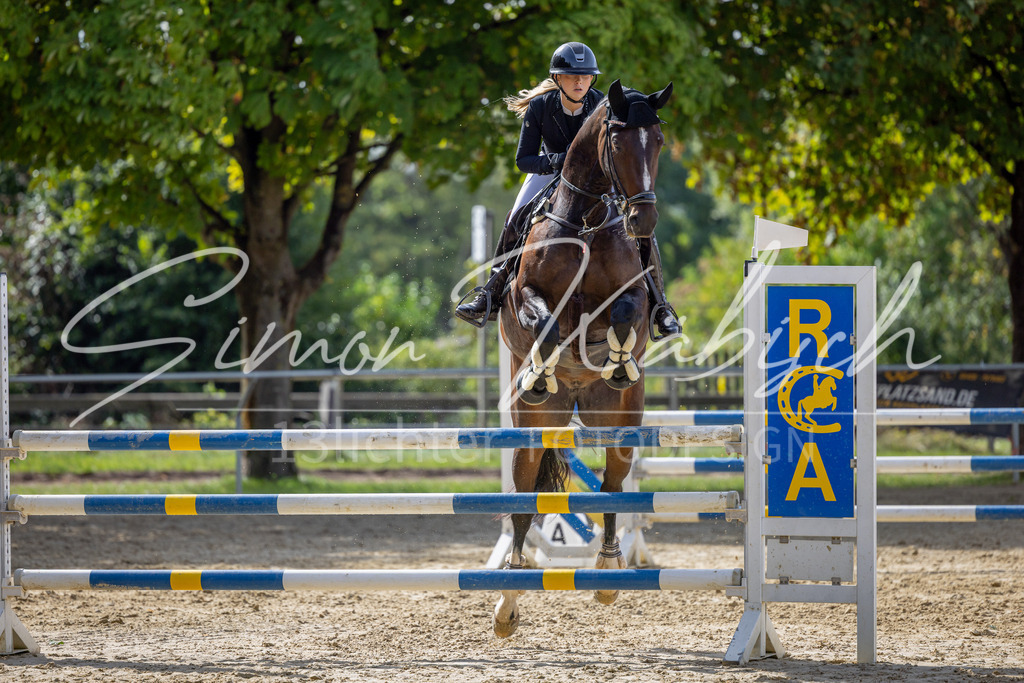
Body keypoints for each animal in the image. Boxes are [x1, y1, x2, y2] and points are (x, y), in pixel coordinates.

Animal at [494, 79, 672, 637]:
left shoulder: (632, 296)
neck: (587, 222)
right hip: (531, 431)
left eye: (659, 140)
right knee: (523, 503)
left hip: (620, 426)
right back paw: (508, 598)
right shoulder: (524, 296)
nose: (643, 219)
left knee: (614, 489)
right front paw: (541, 370)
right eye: (616, 140)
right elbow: (545, 323)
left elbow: (625, 314)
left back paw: (609, 571)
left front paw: (617, 362)